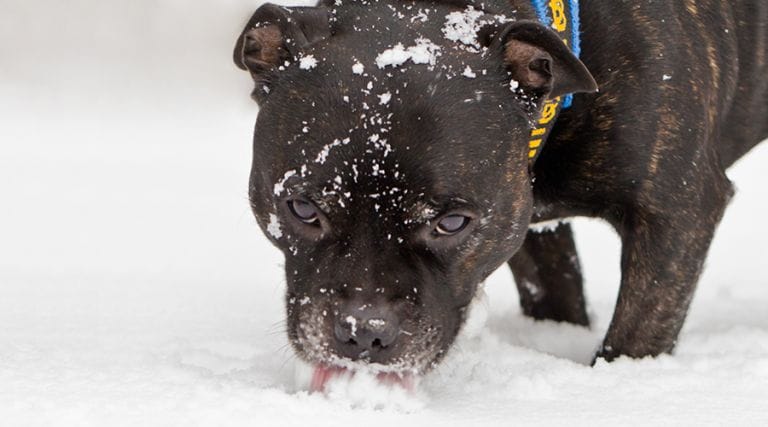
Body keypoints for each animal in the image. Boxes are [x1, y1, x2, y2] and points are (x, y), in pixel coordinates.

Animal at [232, 0, 768, 386]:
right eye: (302, 208)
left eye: (451, 223)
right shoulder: (524, 215)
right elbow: (556, 293)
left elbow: (638, 333)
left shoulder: (675, 212)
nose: (364, 331)